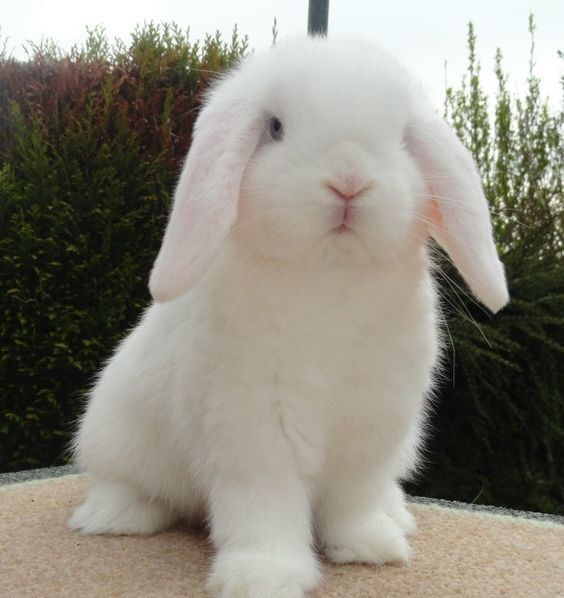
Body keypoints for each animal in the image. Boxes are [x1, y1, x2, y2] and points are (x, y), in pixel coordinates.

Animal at [68, 37, 508, 598]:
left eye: (403, 138)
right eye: (275, 127)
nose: (349, 181)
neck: (330, 277)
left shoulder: (371, 430)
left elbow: (354, 500)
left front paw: (368, 549)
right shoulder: (256, 428)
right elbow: (265, 506)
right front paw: (263, 576)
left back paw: (396, 519)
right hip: (116, 433)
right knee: (129, 484)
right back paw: (114, 517)